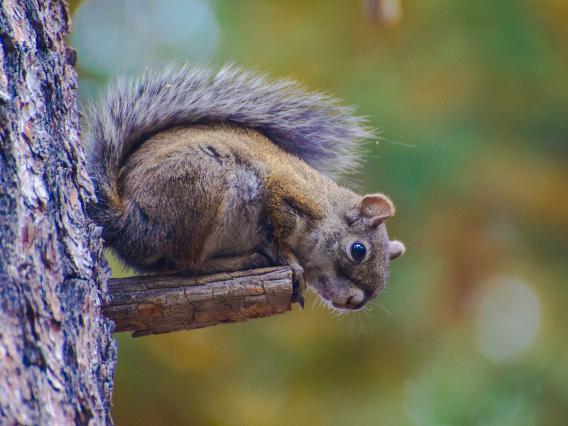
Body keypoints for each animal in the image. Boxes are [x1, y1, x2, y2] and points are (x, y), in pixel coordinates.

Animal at [85, 65, 404, 310]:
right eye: (358, 250)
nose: (355, 302)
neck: (327, 209)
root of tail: (128, 222)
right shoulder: (284, 192)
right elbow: (279, 236)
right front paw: (291, 263)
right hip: (202, 185)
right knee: (187, 263)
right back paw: (240, 261)